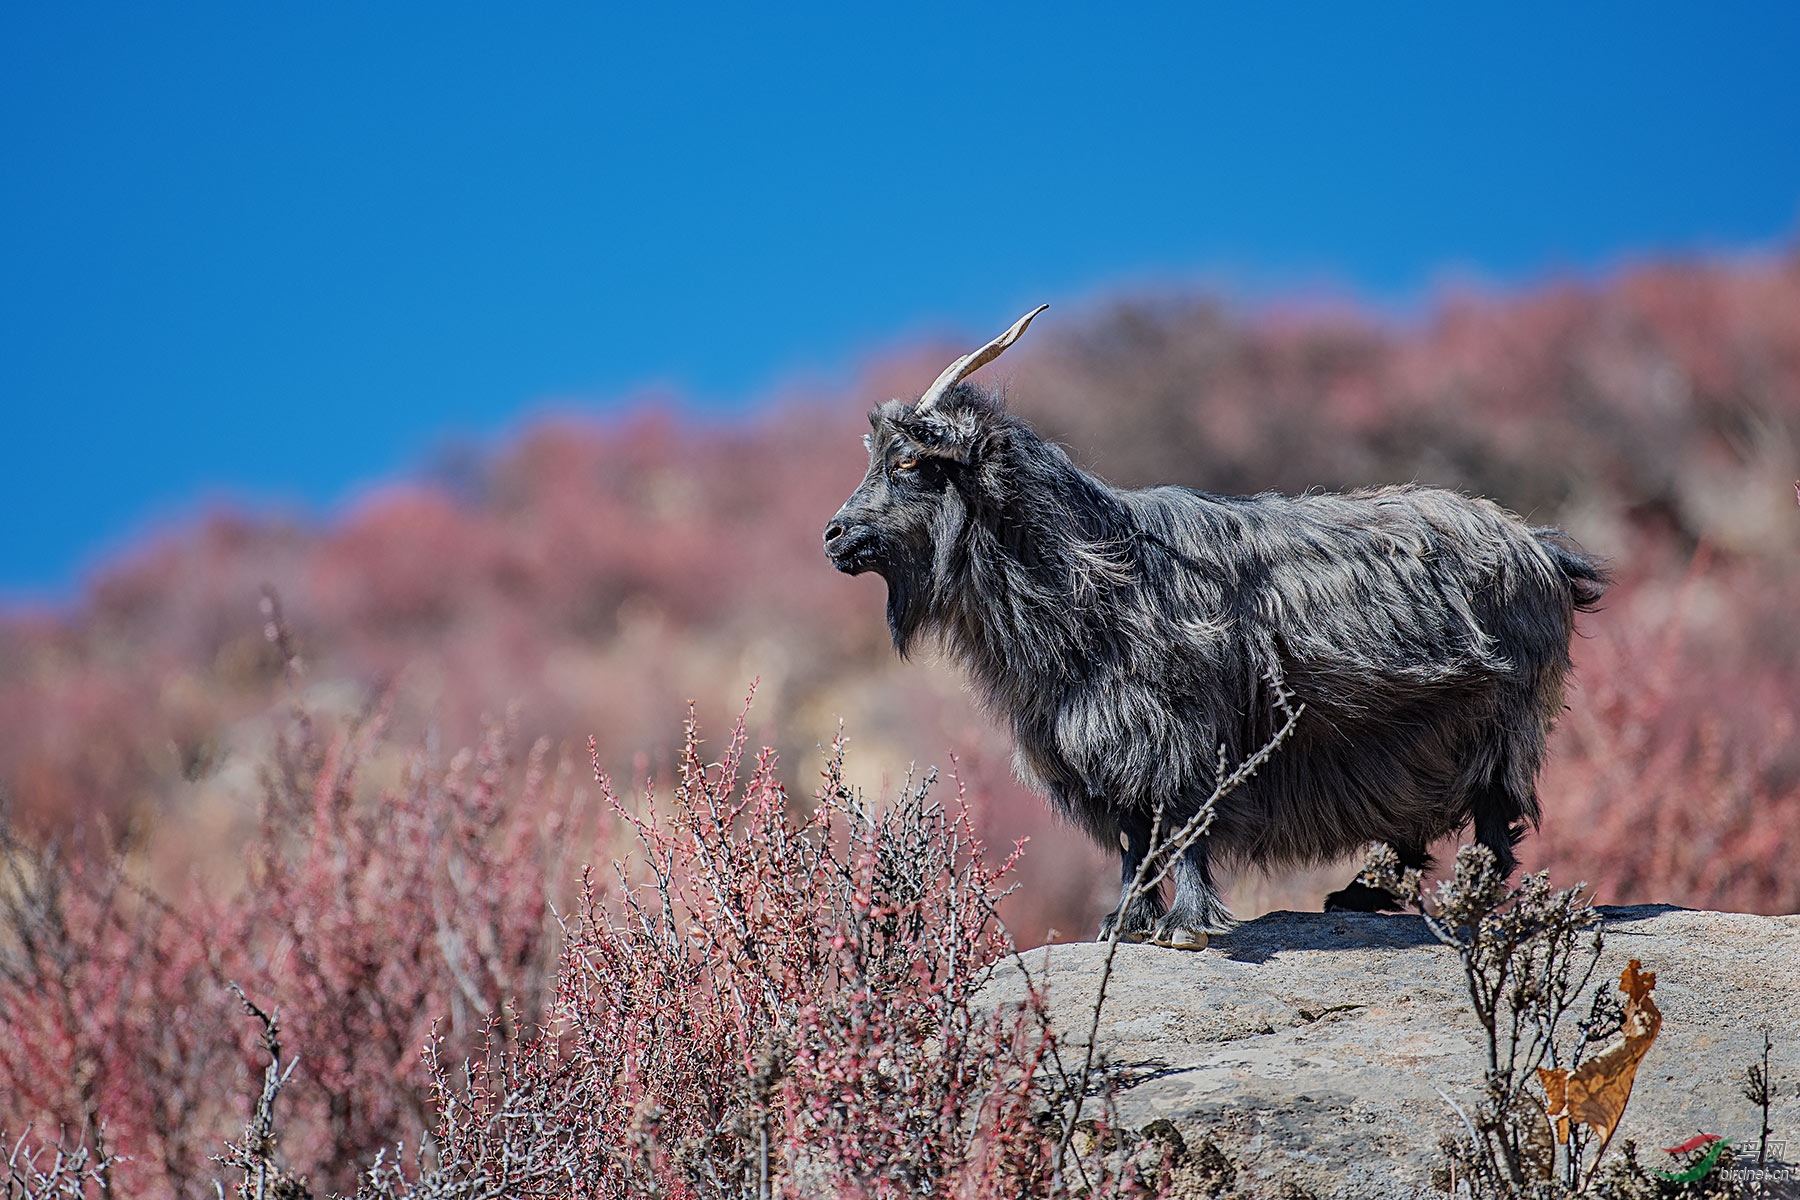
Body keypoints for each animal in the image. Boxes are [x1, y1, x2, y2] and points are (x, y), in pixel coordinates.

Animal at [824, 307, 1612, 949]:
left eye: (908, 459)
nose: (834, 536)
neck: (1088, 566)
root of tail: (1542, 548)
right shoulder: (1102, 744)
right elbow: (1133, 837)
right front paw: (1124, 921)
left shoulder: (1177, 731)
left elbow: (1183, 821)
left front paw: (1184, 924)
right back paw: (1360, 893)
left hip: (1497, 722)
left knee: (1497, 820)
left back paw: (1462, 907)